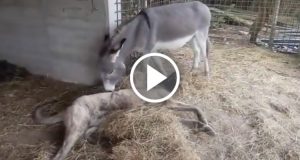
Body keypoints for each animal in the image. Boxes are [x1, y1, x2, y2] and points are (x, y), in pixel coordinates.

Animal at [32, 89, 216, 160]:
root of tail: (67, 108)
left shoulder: (170, 109)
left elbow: (193, 116)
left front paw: (206, 127)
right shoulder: (168, 105)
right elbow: (195, 108)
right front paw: (205, 123)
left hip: (93, 125)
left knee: (87, 135)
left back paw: (99, 141)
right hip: (76, 130)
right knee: (59, 155)